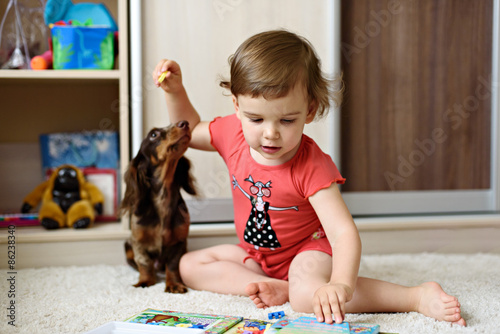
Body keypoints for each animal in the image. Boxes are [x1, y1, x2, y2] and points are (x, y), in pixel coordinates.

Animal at [122, 120, 196, 292]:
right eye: (153, 135)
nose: (185, 123)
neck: (163, 198)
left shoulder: (179, 243)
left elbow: (173, 265)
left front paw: (174, 284)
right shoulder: (138, 243)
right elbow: (144, 264)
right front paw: (145, 281)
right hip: (127, 247)